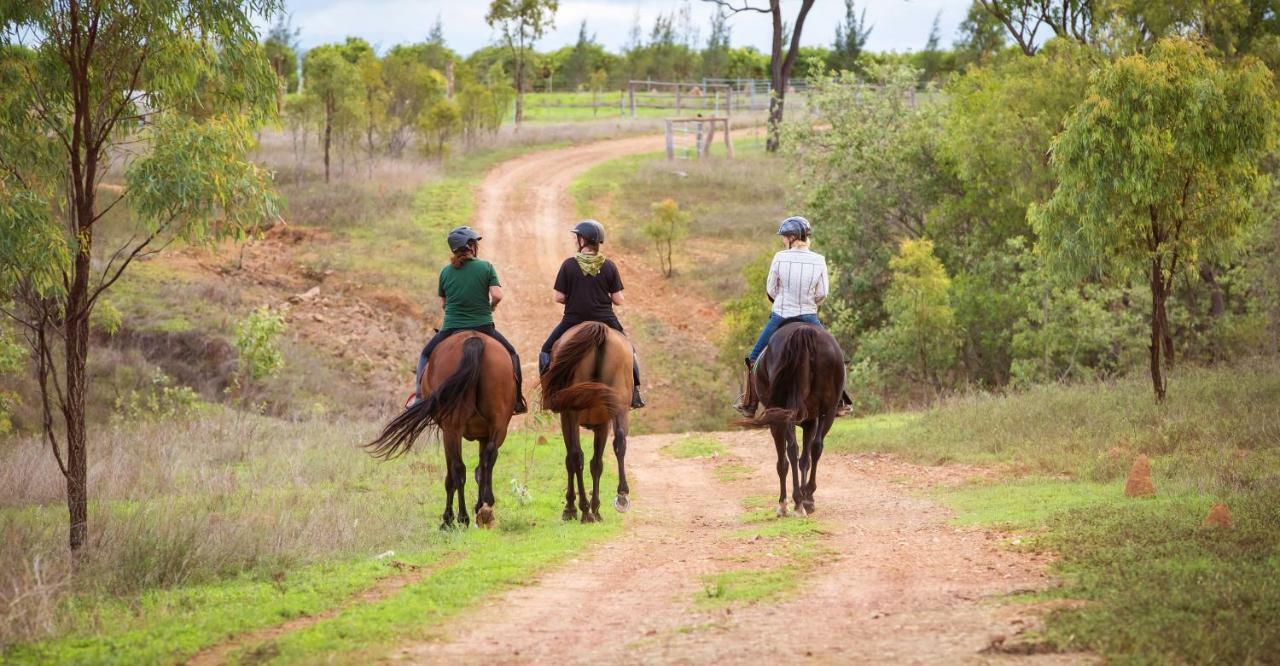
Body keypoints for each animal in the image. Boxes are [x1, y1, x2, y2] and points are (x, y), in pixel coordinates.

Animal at [363, 333, 512, 530]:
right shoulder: (484, 435)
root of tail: (473, 339)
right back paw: (485, 509)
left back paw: (462, 517)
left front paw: (448, 519)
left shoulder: (449, 431)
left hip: (452, 428)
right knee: (488, 458)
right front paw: (480, 506)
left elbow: (452, 476)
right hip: (498, 424)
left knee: (458, 469)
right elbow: (481, 469)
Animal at [537, 321, 632, 519]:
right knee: (620, 442)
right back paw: (621, 496)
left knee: (575, 456)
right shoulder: (602, 423)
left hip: (571, 412)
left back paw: (583, 509)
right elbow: (596, 463)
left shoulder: (567, 418)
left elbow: (572, 459)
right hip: (618, 404)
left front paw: (573, 507)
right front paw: (595, 508)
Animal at [742, 325, 849, 517]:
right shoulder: (810, 421)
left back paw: (797, 501)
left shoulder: (777, 422)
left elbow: (783, 461)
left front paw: (784, 504)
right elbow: (805, 459)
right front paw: (806, 498)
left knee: (792, 450)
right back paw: (807, 498)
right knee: (816, 447)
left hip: (785, 415)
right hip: (827, 411)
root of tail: (803, 331)